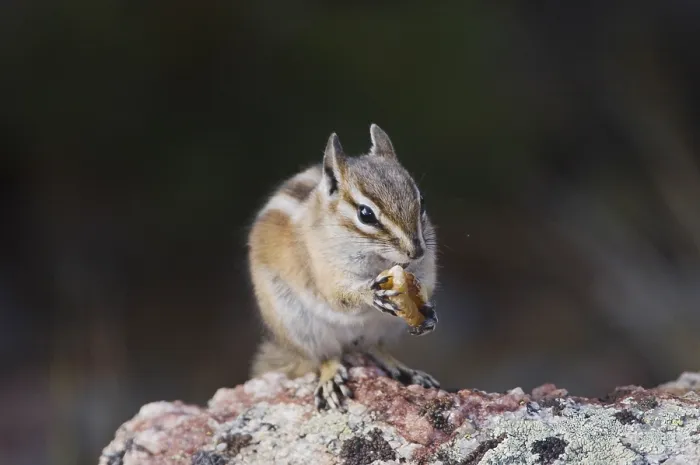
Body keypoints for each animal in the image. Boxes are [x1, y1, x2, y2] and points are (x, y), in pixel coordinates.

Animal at [247, 124, 439, 410]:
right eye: (366, 214)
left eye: (422, 201)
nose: (416, 251)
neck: (378, 260)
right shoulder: (325, 269)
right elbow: (339, 298)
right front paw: (370, 292)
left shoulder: (426, 265)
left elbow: (424, 284)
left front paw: (428, 310)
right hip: (300, 326)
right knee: (326, 356)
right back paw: (331, 379)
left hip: (382, 329)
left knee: (374, 348)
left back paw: (406, 370)